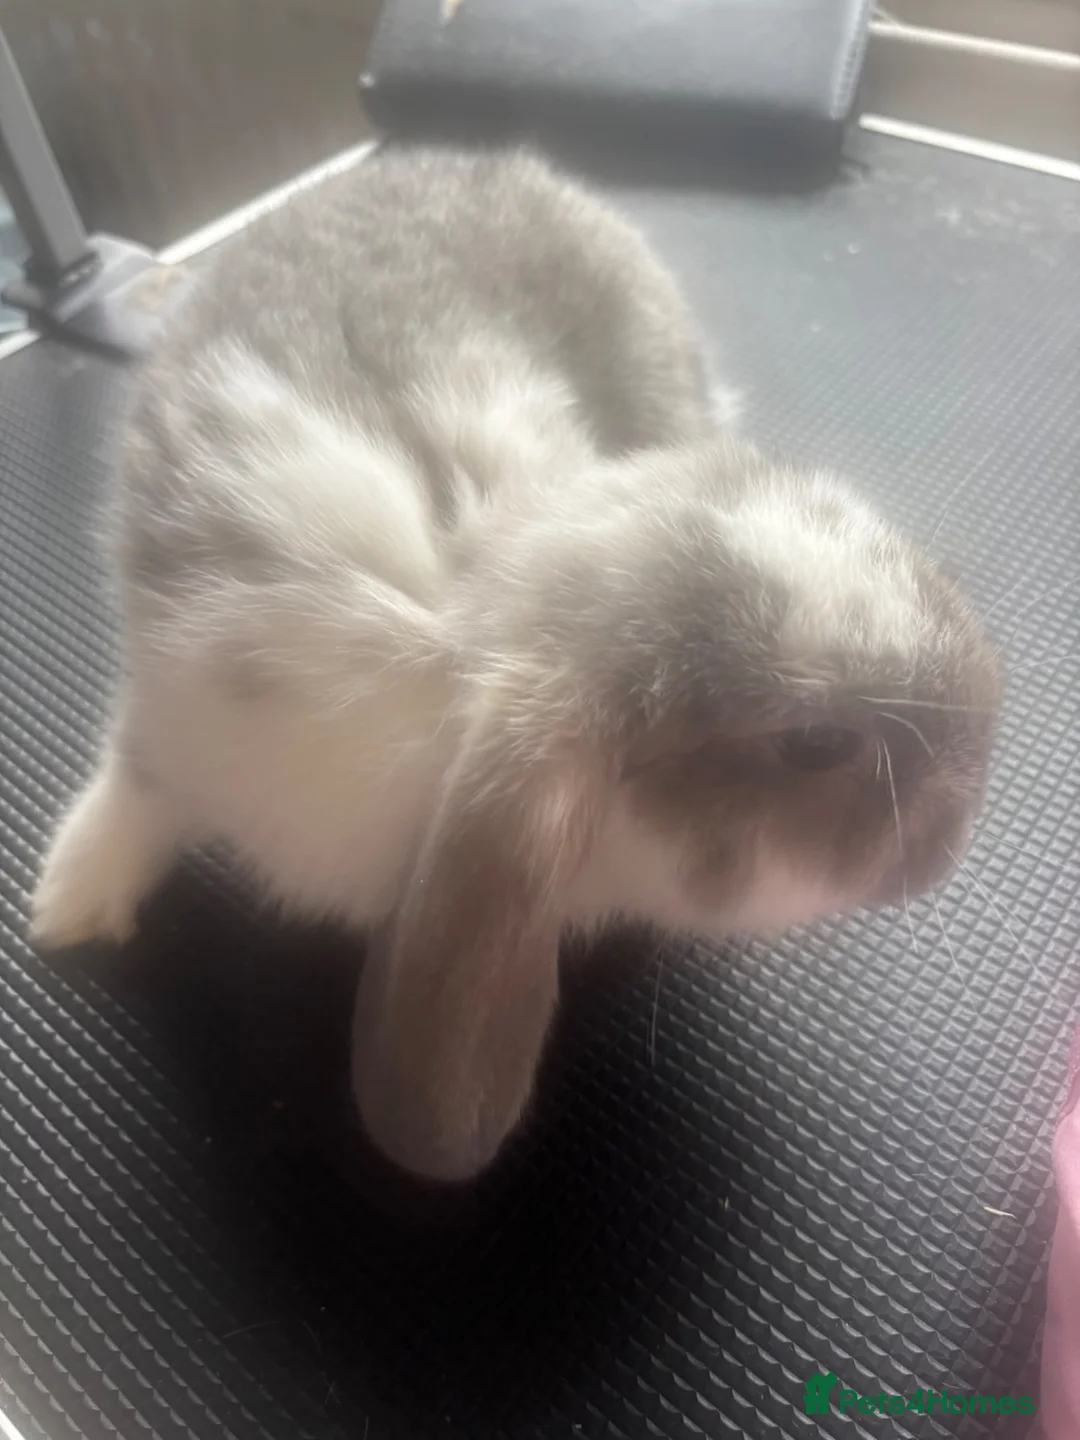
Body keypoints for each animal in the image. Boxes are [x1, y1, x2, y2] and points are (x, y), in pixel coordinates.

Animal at [30, 145, 1000, 1182]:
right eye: (815, 743)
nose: (961, 827)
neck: (467, 634)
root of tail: (480, 161)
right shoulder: (183, 702)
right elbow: (137, 788)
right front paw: (69, 903)